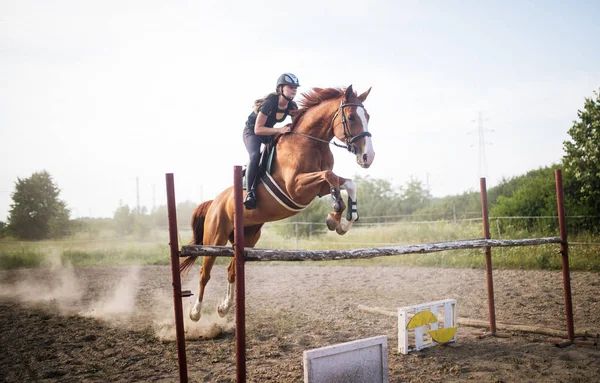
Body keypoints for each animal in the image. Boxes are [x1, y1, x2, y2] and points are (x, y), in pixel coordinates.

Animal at [180, 85, 372, 322]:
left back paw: (224, 307)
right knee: (204, 272)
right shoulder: (297, 188)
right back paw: (195, 313)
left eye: (368, 117)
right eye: (352, 117)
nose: (368, 156)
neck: (310, 142)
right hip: (215, 236)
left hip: (248, 237)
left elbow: (345, 182)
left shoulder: (316, 189)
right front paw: (335, 214)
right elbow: (330, 176)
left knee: (232, 270)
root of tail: (214, 201)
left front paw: (342, 221)